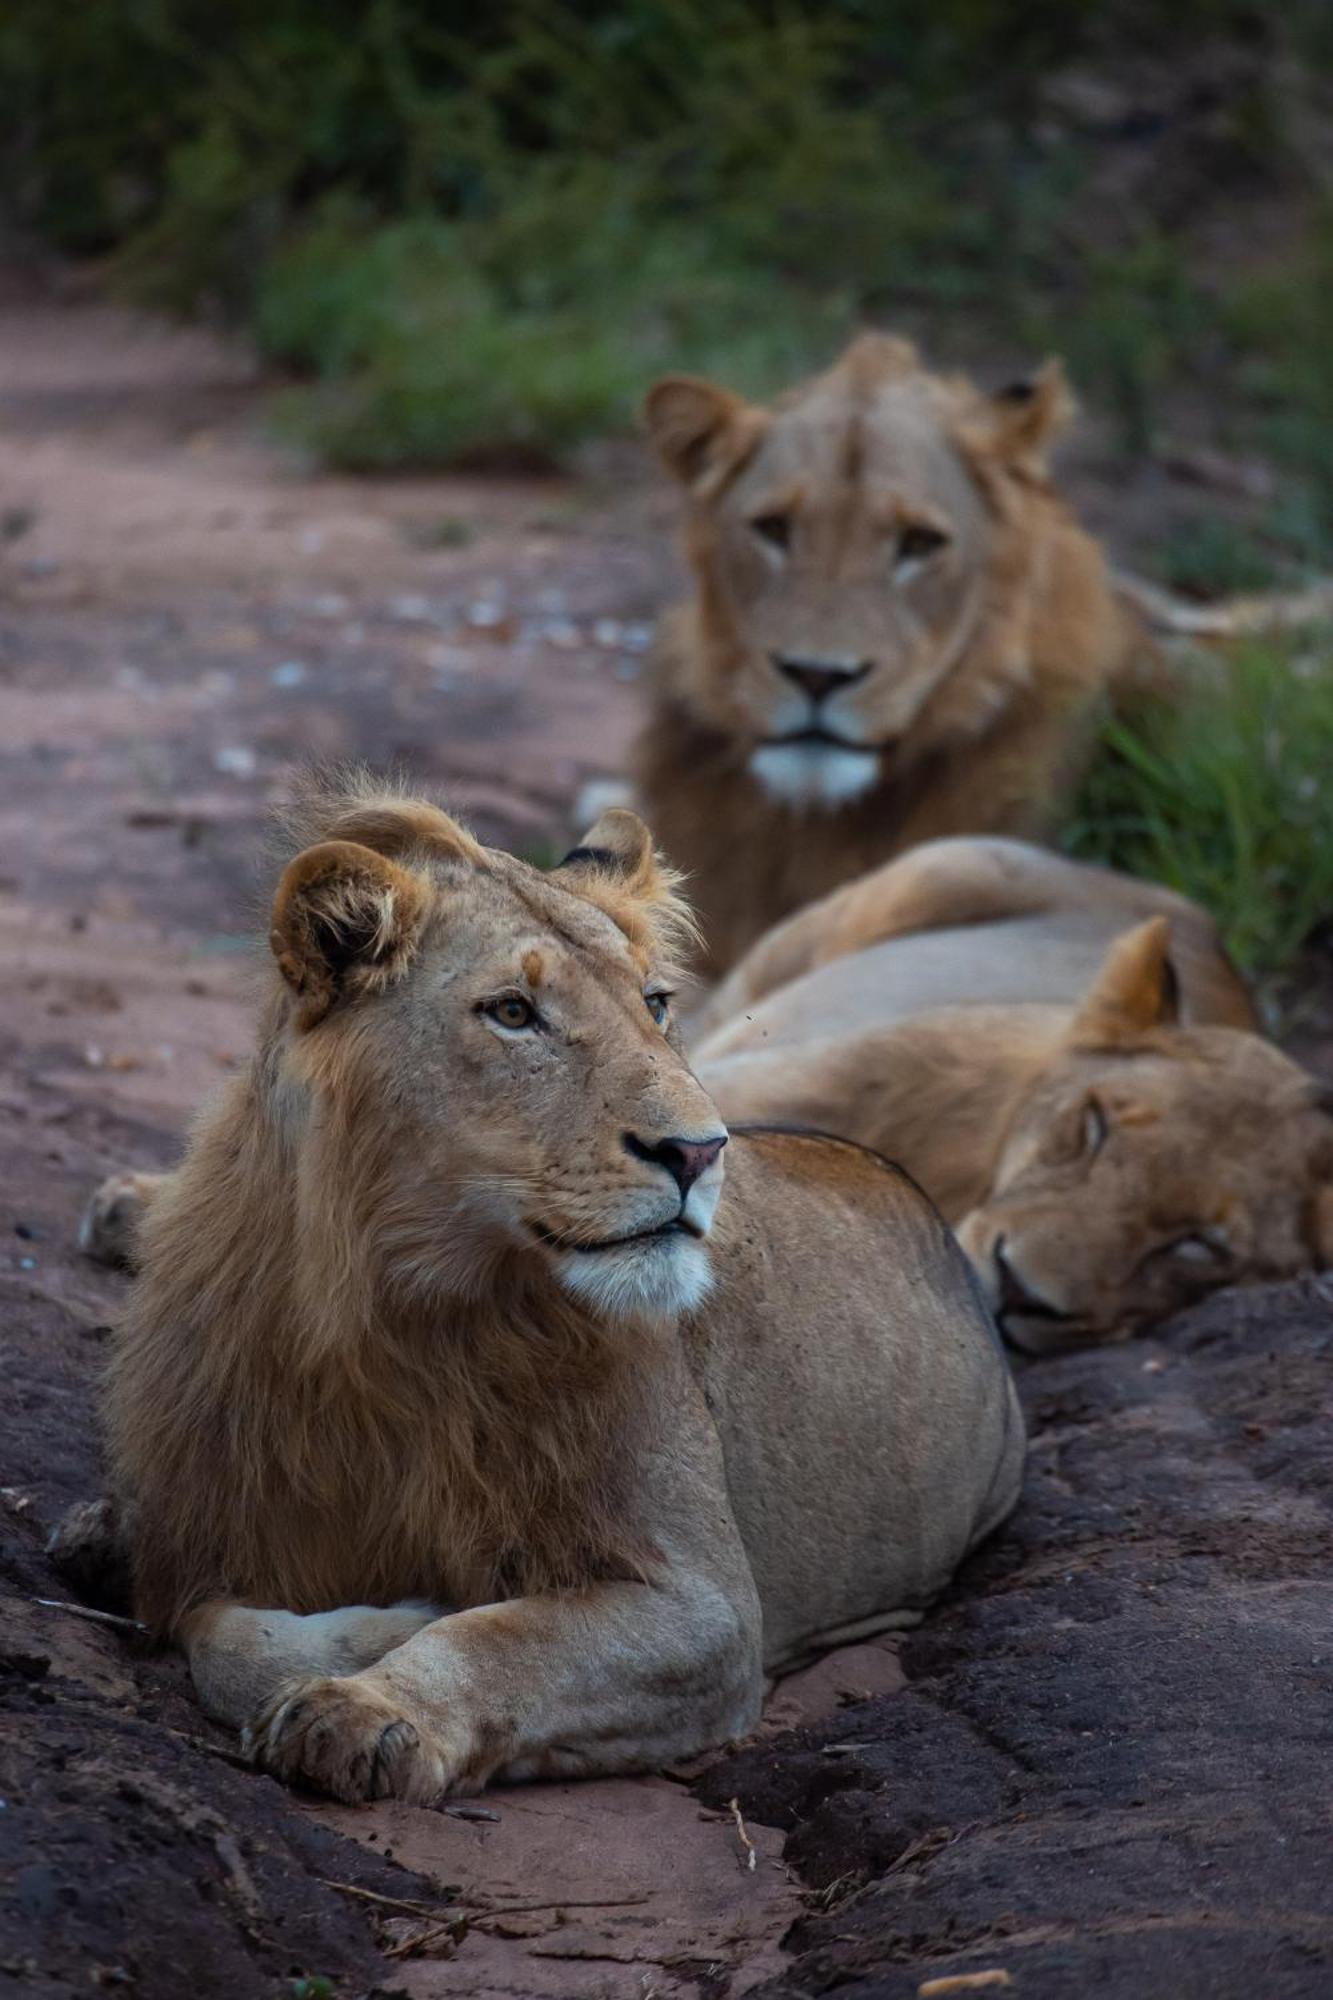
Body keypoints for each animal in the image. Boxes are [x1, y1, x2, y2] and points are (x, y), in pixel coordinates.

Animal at [98, 772, 1020, 1808]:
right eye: (511, 1013)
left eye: (655, 1003)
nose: (698, 1151)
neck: (402, 1306)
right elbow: (220, 1634)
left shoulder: (706, 1611)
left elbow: (503, 1638)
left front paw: (374, 1699)